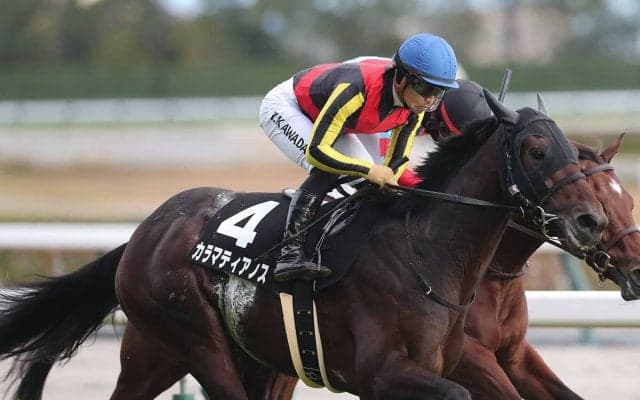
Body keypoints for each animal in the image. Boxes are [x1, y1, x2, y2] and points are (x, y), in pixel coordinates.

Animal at [0, 91, 608, 400]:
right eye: (536, 150)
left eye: (573, 149)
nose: (591, 220)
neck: (426, 255)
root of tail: (141, 234)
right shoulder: (383, 375)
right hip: (194, 339)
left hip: (168, 353)